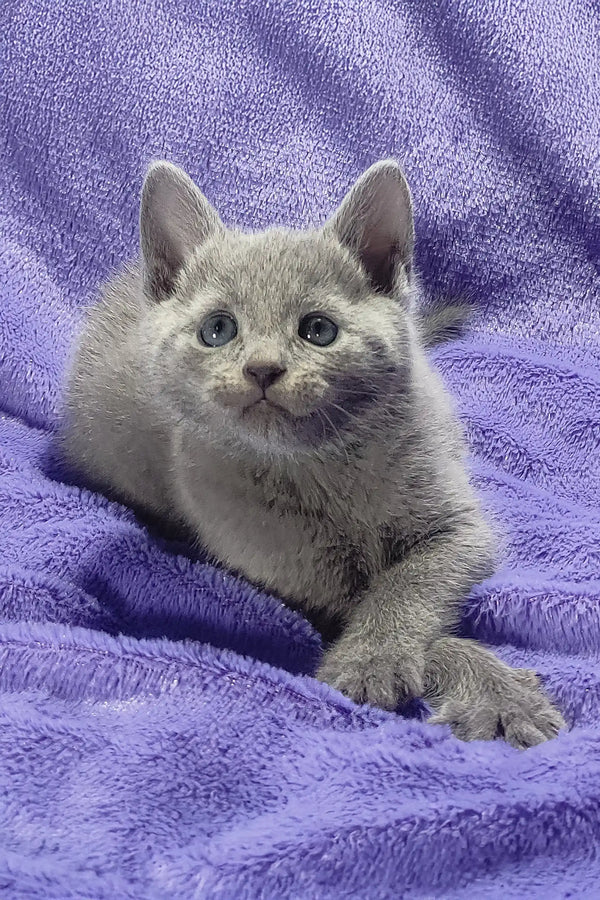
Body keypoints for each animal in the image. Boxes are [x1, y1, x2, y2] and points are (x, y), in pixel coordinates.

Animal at [63, 160, 564, 744]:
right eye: (218, 329)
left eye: (318, 330)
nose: (262, 368)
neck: (328, 468)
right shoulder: (289, 576)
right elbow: (398, 618)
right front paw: (418, 672)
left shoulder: (460, 526)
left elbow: (408, 584)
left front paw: (399, 664)